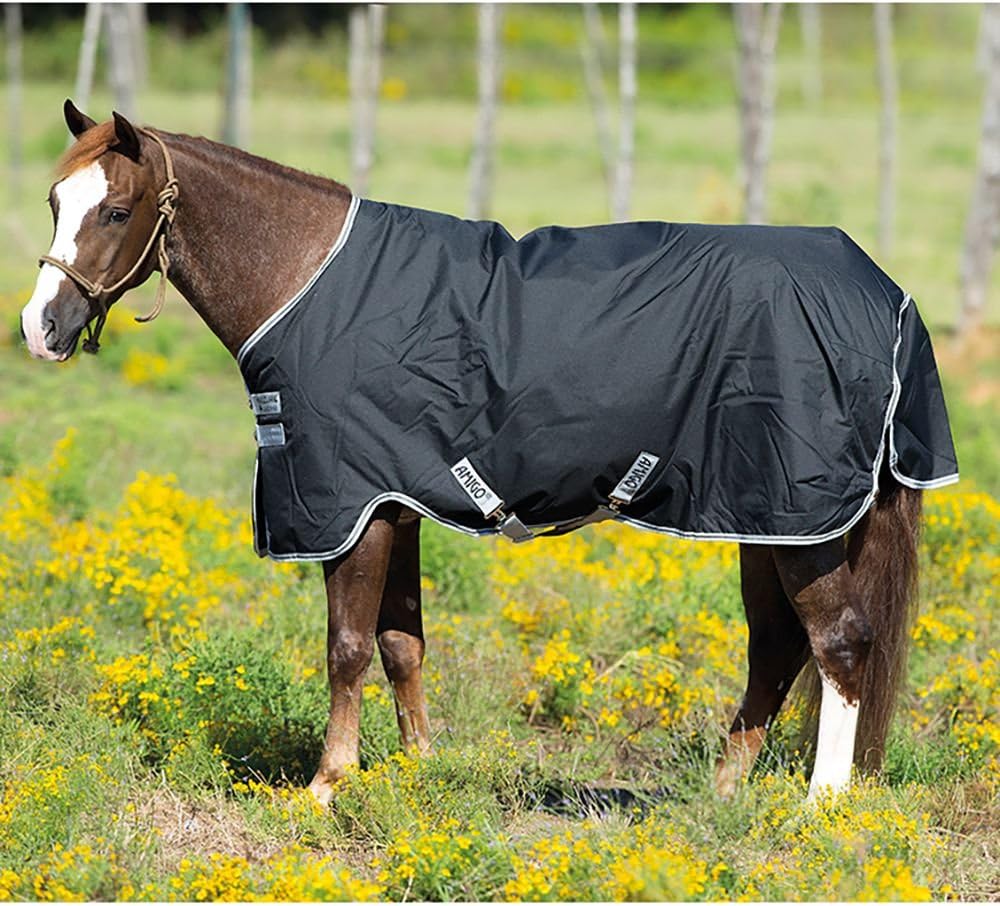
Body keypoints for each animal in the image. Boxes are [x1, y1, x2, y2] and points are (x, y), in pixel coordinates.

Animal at [21, 101, 958, 806]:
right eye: (53, 201)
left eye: (114, 210)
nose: (40, 328)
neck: (310, 283)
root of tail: (887, 294)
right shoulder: (395, 502)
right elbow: (401, 642)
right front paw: (418, 769)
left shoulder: (351, 508)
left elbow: (346, 645)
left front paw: (326, 787)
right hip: (766, 517)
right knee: (777, 648)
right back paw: (724, 793)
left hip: (801, 518)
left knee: (840, 642)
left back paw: (820, 806)